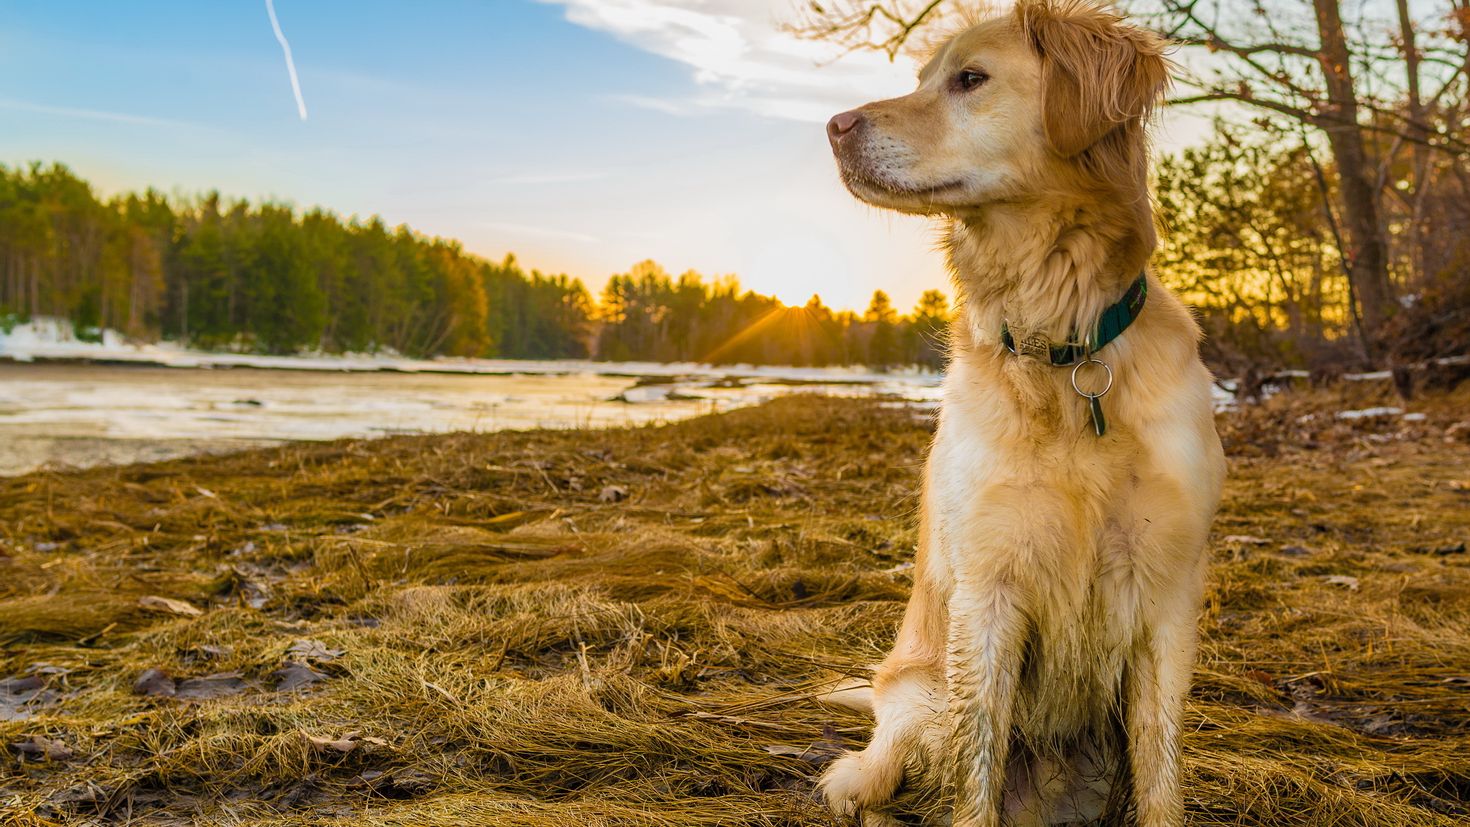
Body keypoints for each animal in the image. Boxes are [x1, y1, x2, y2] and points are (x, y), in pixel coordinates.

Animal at [823, 1, 1223, 827]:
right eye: (923, 79)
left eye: (969, 79)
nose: (834, 126)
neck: (1063, 351)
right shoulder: (988, 591)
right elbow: (975, 771)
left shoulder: (1166, 596)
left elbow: (1162, 769)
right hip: (911, 710)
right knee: (874, 779)